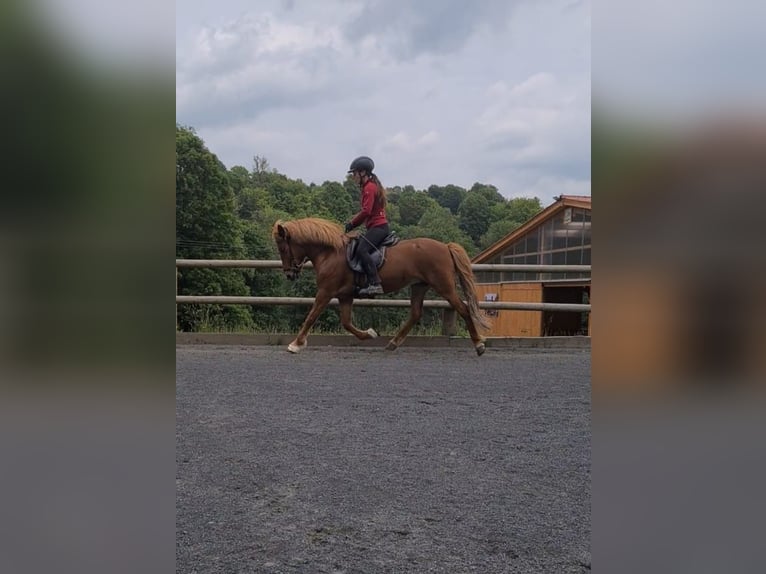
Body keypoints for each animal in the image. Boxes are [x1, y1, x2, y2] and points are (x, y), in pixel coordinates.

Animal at [272, 217, 492, 355]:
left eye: (283, 248)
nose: (289, 274)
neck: (330, 253)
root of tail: (446, 246)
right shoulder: (344, 295)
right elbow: (346, 322)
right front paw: (369, 334)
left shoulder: (326, 292)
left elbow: (311, 316)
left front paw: (295, 344)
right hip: (419, 286)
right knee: (415, 313)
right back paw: (392, 343)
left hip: (443, 286)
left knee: (463, 309)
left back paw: (479, 345)